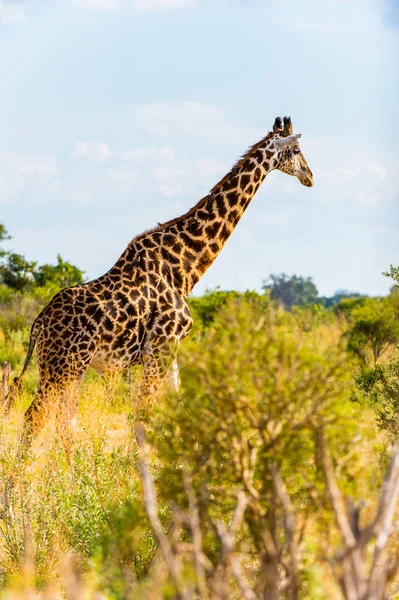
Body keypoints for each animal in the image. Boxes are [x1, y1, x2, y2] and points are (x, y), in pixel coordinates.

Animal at [5, 117, 312, 426]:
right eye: (297, 150)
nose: (309, 176)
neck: (184, 268)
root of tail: (38, 324)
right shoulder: (159, 349)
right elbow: (142, 413)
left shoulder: (171, 351)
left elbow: (174, 405)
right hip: (64, 365)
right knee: (35, 416)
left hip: (67, 367)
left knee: (62, 421)